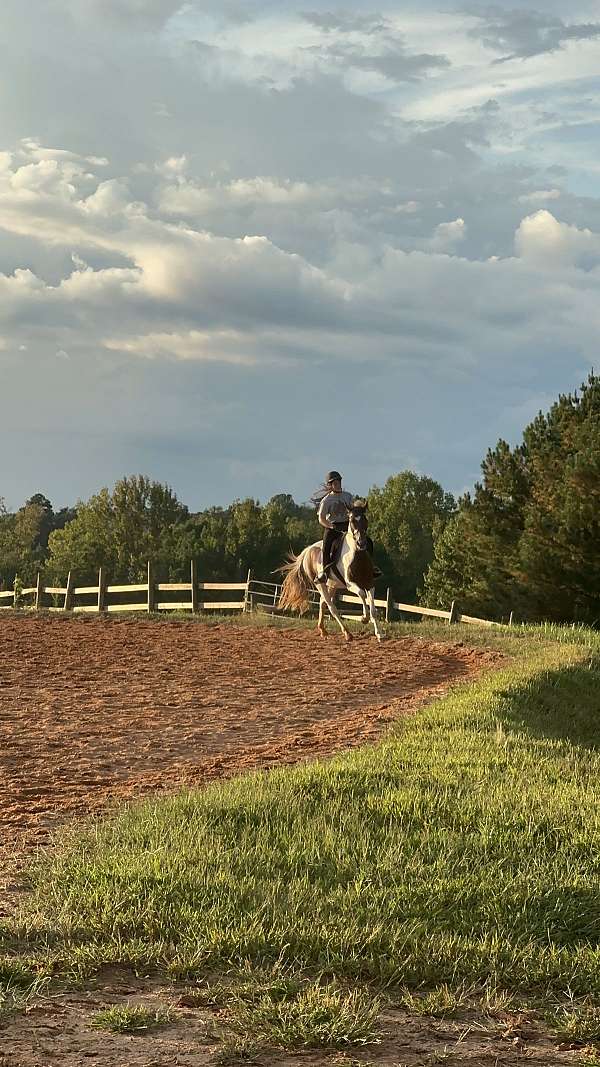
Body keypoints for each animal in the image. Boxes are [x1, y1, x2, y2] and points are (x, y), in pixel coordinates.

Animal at [277, 497, 380, 640]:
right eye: (352, 520)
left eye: (365, 520)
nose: (361, 543)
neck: (358, 556)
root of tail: (308, 550)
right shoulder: (350, 584)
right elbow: (362, 593)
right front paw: (364, 618)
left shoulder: (370, 583)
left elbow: (373, 608)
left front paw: (379, 634)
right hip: (320, 583)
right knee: (331, 606)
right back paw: (347, 633)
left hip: (332, 584)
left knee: (323, 602)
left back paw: (323, 630)